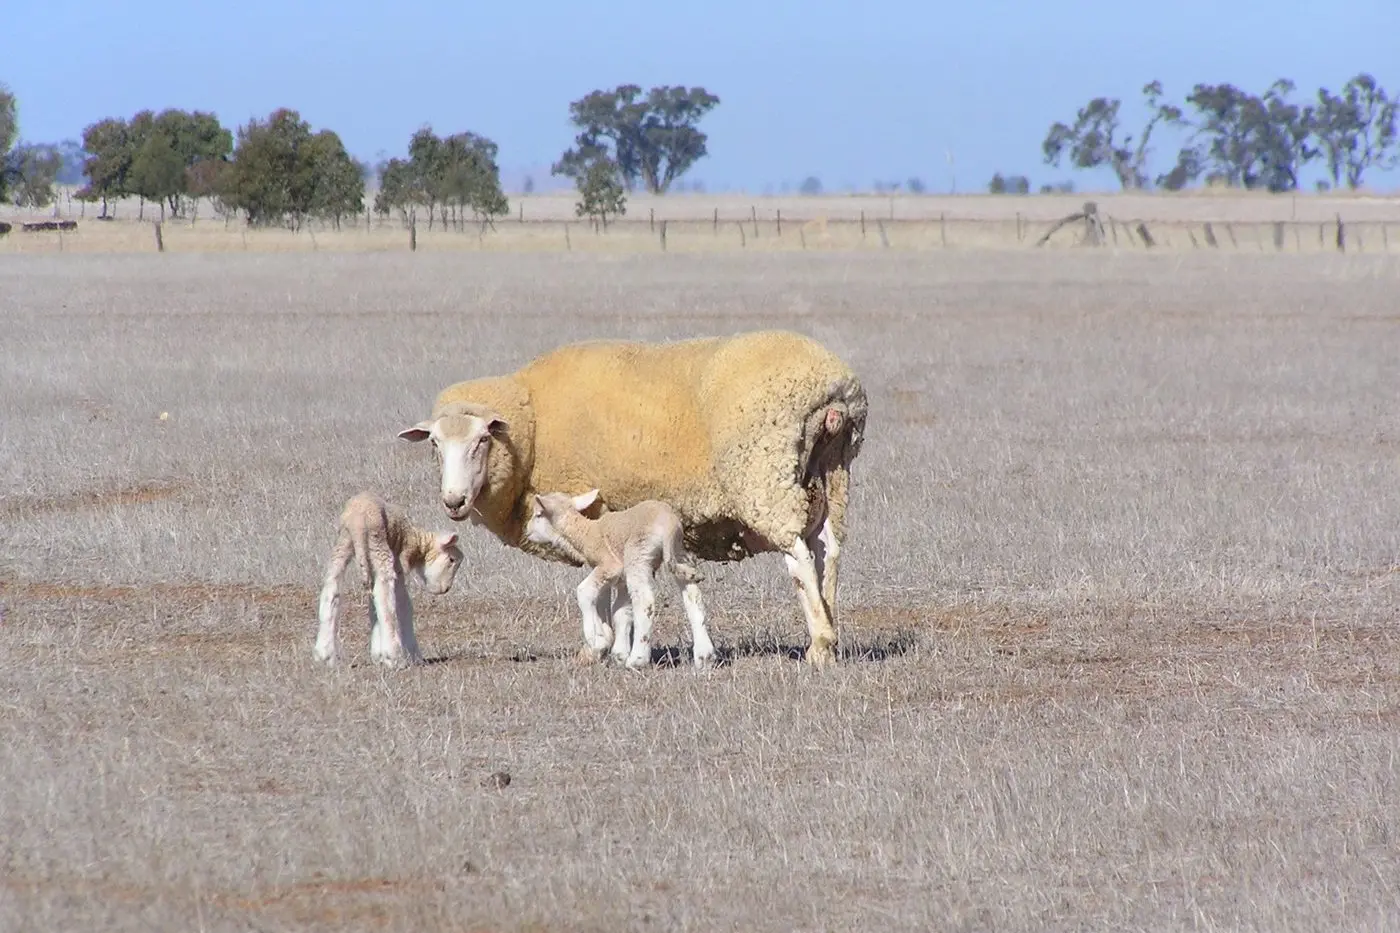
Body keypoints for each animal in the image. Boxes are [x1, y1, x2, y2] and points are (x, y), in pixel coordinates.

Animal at [314, 491, 463, 668]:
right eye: (452, 560)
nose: (446, 589)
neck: (414, 540)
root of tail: (357, 521)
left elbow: (373, 606)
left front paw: (377, 653)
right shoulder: (399, 564)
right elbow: (403, 604)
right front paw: (413, 655)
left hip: (344, 543)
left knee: (332, 588)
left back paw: (325, 656)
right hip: (378, 544)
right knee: (384, 596)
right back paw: (394, 656)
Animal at [525, 488, 717, 670]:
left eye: (538, 514)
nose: (526, 531)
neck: (586, 533)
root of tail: (668, 521)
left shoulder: (610, 566)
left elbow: (584, 591)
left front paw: (597, 639)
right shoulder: (621, 580)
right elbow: (620, 612)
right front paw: (618, 653)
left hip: (638, 554)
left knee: (645, 601)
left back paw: (637, 659)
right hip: (678, 553)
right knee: (692, 595)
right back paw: (704, 656)